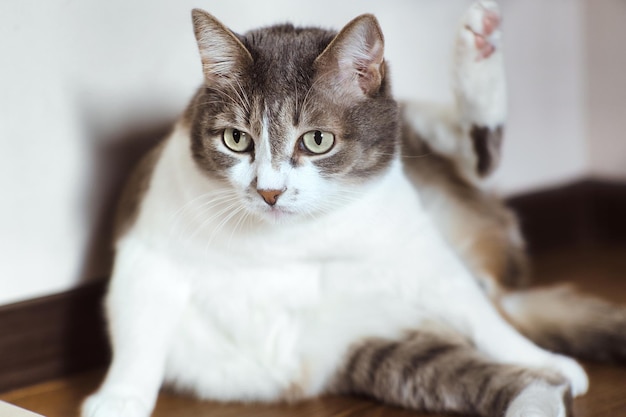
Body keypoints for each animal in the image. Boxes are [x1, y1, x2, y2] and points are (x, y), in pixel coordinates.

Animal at [83, 1, 624, 414]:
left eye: (317, 140)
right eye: (236, 139)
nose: (269, 192)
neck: (283, 240)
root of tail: (499, 283)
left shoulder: (415, 247)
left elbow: (475, 315)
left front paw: (541, 358)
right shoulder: (148, 241)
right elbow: (138, 334)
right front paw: (118, 399)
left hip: (426, 154)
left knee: (476, 162)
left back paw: (479, 45)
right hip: (381, 348)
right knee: (492, 380)